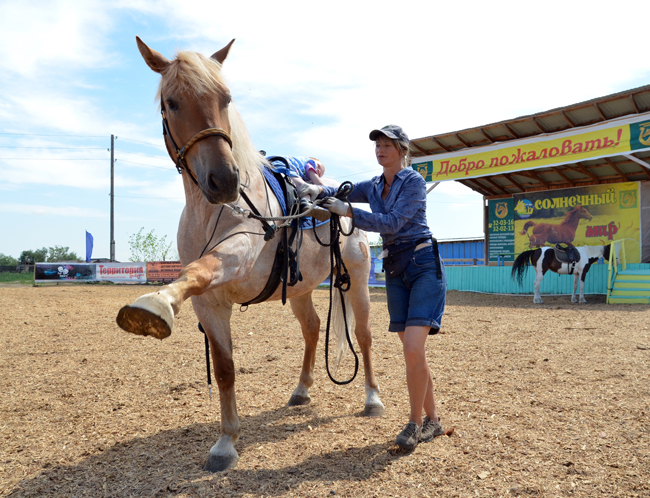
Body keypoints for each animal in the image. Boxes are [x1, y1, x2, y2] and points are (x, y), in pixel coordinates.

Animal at [115, 37, 384, 472]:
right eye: (172, 102)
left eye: (226, 98)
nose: (224, 179)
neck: (212, 211)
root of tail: (338, 199)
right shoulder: (209, 305)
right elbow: (225, 370)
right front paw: (226, 442)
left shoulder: (236, 254)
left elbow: (199, 269)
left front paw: (155, 304)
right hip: (302, 288)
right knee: (313, 329)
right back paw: (301, 390)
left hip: (357, 279)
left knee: (363, 334)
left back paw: (372, 398)